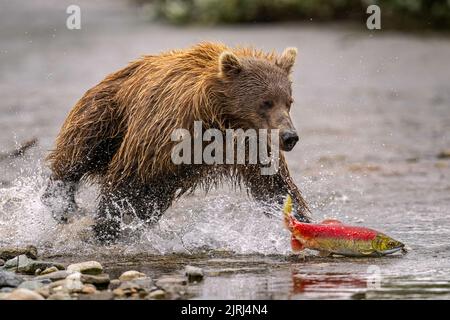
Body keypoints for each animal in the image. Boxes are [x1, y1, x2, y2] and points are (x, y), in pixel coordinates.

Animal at [41, 42, 310, 242]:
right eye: (266, 102)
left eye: (289, 101)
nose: (289, 136)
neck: (219, 118)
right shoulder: (163, 133)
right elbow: (127, 178)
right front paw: (106, 227)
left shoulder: (248, 145)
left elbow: (275, 185)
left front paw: (302, 221)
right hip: (105, 113)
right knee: (77, 155)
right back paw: (62, 203)